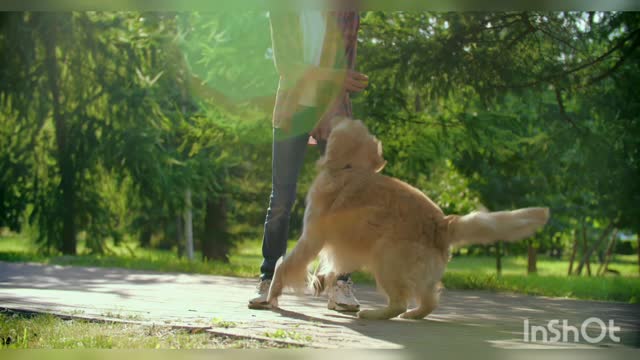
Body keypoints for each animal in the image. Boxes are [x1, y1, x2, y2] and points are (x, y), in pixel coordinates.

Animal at [264, 118, 552, 320]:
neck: (348, 168)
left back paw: (373, 314)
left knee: (399, 301)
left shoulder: (312, 237)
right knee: (429, 300)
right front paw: (321, 280)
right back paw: (413, 314)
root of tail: (443, 223)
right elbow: (330, 266)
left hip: (385, 258)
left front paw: (273, 292)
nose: (331, 116)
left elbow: (285, 265)